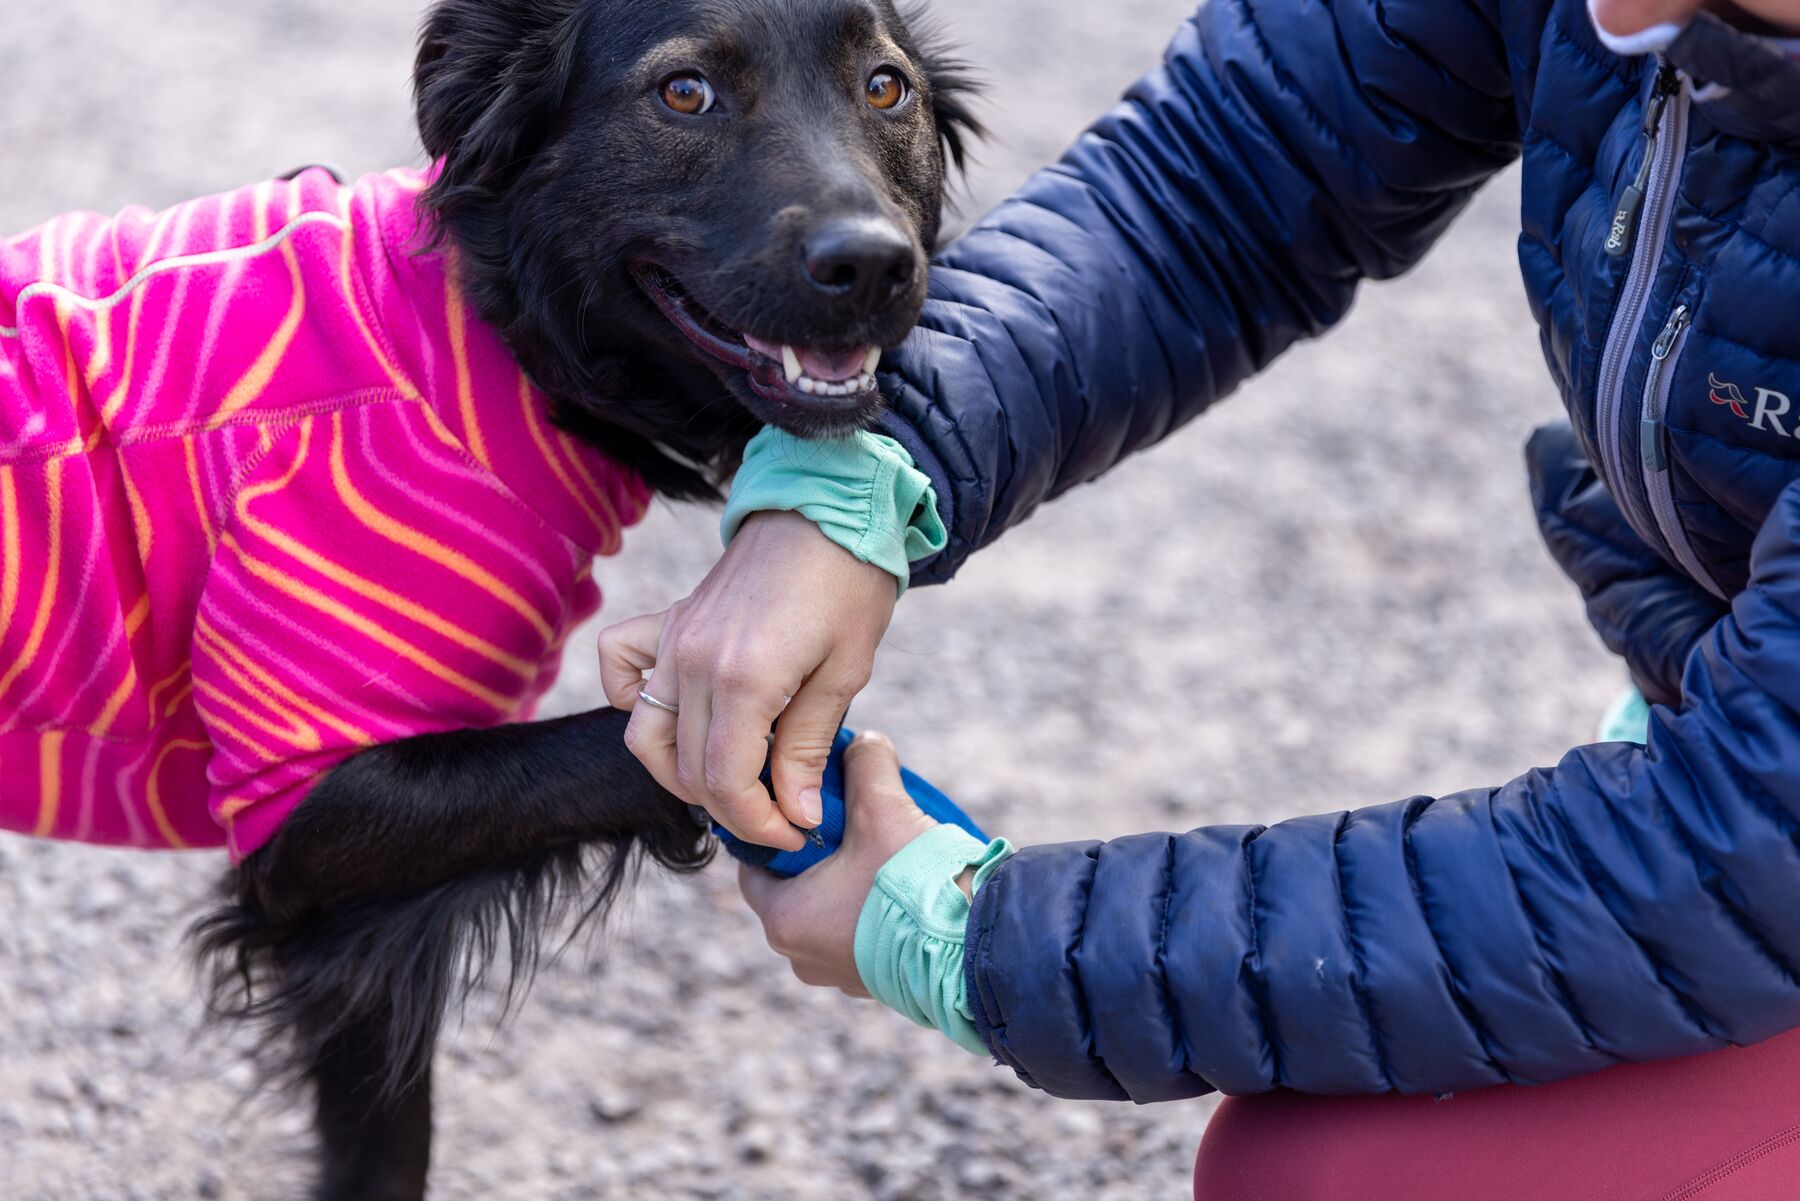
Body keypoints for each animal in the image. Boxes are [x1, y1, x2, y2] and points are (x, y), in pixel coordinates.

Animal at [179, 2, 972, 1201]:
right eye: (684, 93)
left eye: (887, 86)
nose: (876, 264)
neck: (489, 350)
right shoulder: (309, 834)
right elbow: (621, 746)